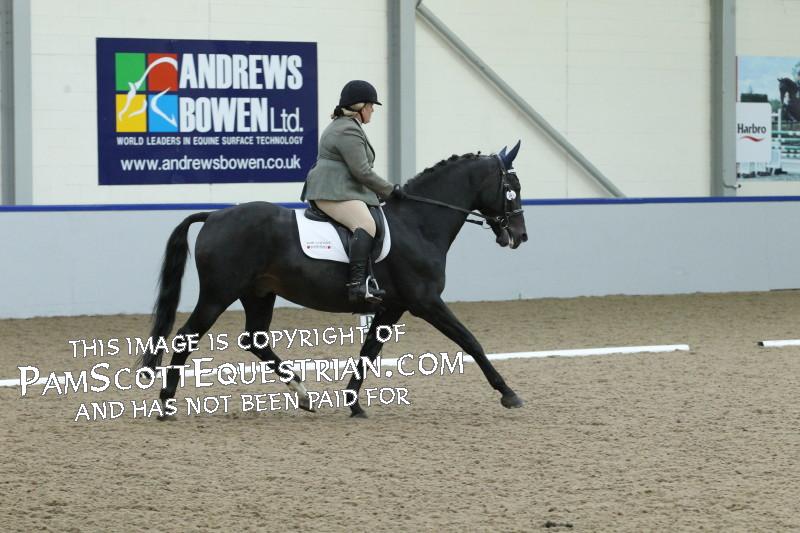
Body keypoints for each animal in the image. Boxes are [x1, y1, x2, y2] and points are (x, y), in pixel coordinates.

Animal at [142, 142, 528, 418]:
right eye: (512, 187)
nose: (520, 236)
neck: (418, 223)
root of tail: (214, 215)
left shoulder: (393, 306)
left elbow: (369, 351)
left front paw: (353, 402)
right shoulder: (426, 302)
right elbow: (470, 341)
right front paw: (509, 394)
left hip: (258, 293)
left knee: (255, 340)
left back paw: (303, 395)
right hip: (218, 293)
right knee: (186, 337)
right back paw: (166, 404)